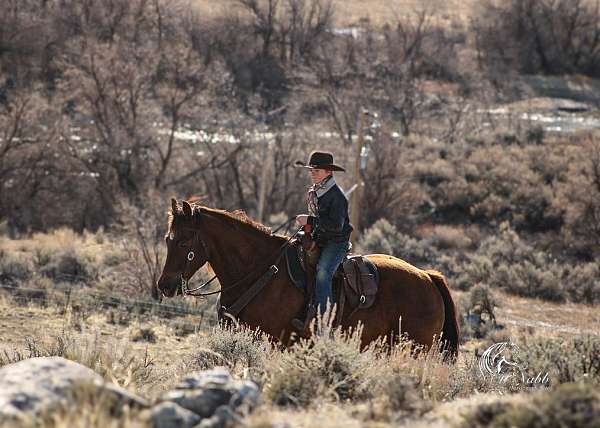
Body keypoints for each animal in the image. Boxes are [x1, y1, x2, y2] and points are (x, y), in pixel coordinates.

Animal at [156, 200, 460, 358]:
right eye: (168, 239)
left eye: (184, 242)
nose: (164, 285)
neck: (260, 269)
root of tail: (428, 277)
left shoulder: (273, 341)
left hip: (415, 348)